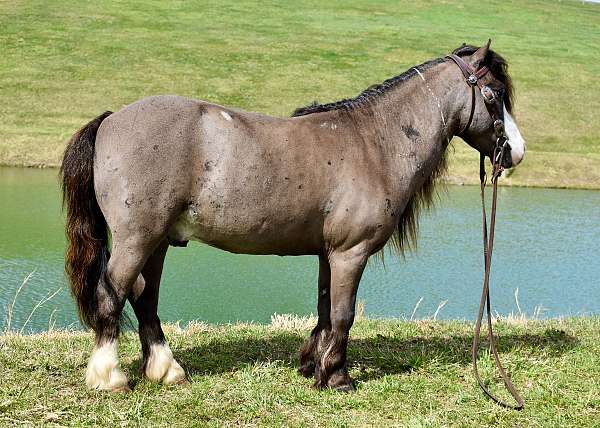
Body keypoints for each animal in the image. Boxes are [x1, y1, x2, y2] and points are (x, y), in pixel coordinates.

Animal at [58, 41, 524, 392]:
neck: (373, 142)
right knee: (112, 294)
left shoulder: (329, 254)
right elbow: (343, 314)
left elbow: (324, 309)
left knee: (144, 297)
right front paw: (337, 378)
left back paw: (166, 370)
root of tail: (112, 120)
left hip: (157, 242)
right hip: (137, 239)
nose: (516, 152)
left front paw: (312, 365)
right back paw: (109, 376)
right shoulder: (351, 253)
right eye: (494, 94)